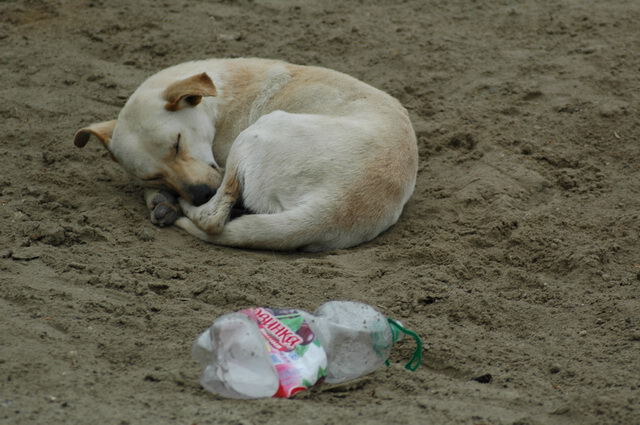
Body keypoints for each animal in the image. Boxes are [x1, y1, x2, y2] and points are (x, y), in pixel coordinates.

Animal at [74, 59, 420, 252]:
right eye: (154, 174)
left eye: (178, 143)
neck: (220, 95)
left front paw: (165, 202)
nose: (200, 193)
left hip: (257, 132)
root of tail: (335, 205)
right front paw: (160, 196)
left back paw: (187, 208)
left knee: (213, 218)